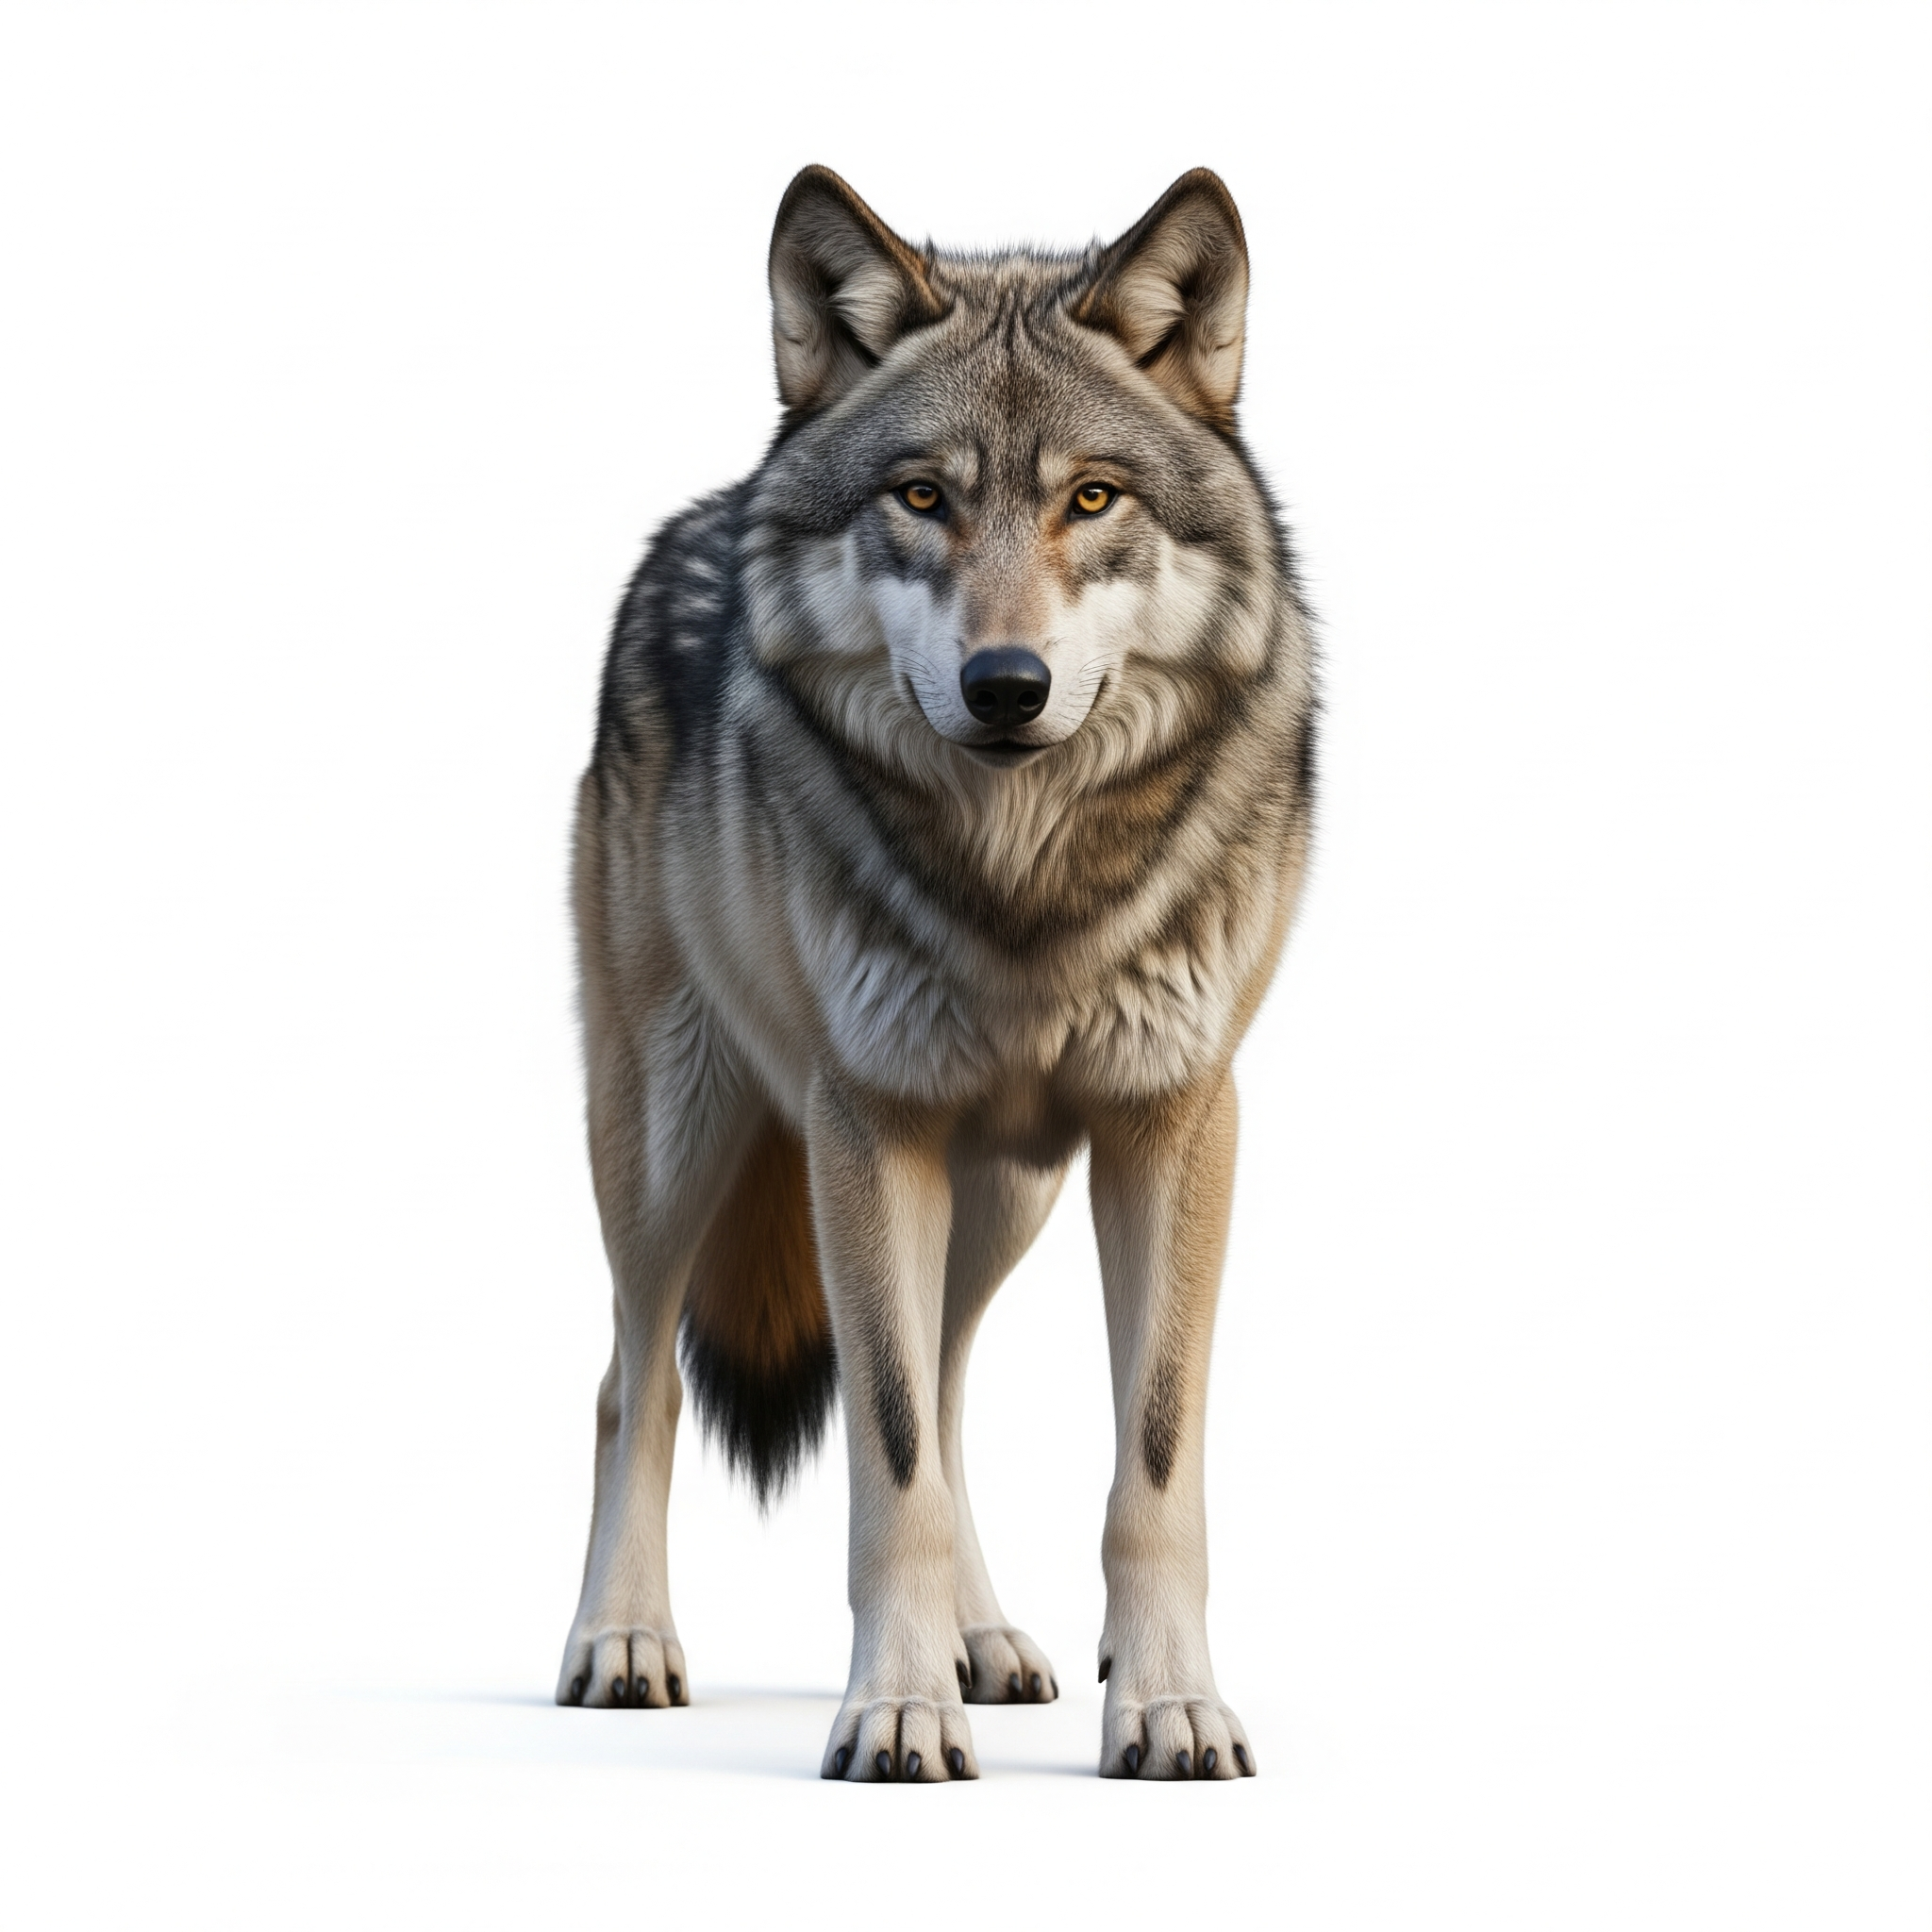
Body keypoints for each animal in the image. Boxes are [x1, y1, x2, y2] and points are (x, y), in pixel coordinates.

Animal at [555, 165, 1315, 1782]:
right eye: (923, 498)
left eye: (1091, 497)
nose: (1006, 686)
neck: (1026, 886)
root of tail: (703, 511)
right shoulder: (869, 1123)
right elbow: (884, 1452)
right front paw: (898, 1712)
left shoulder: (1177, 1122)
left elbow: (1146, 1461)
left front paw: (1167, 1708)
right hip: (674, 1135)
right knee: (635, 1383)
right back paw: (623, 1640)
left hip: (1004, 1189)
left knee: (954, 1385)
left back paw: (988, 1642)